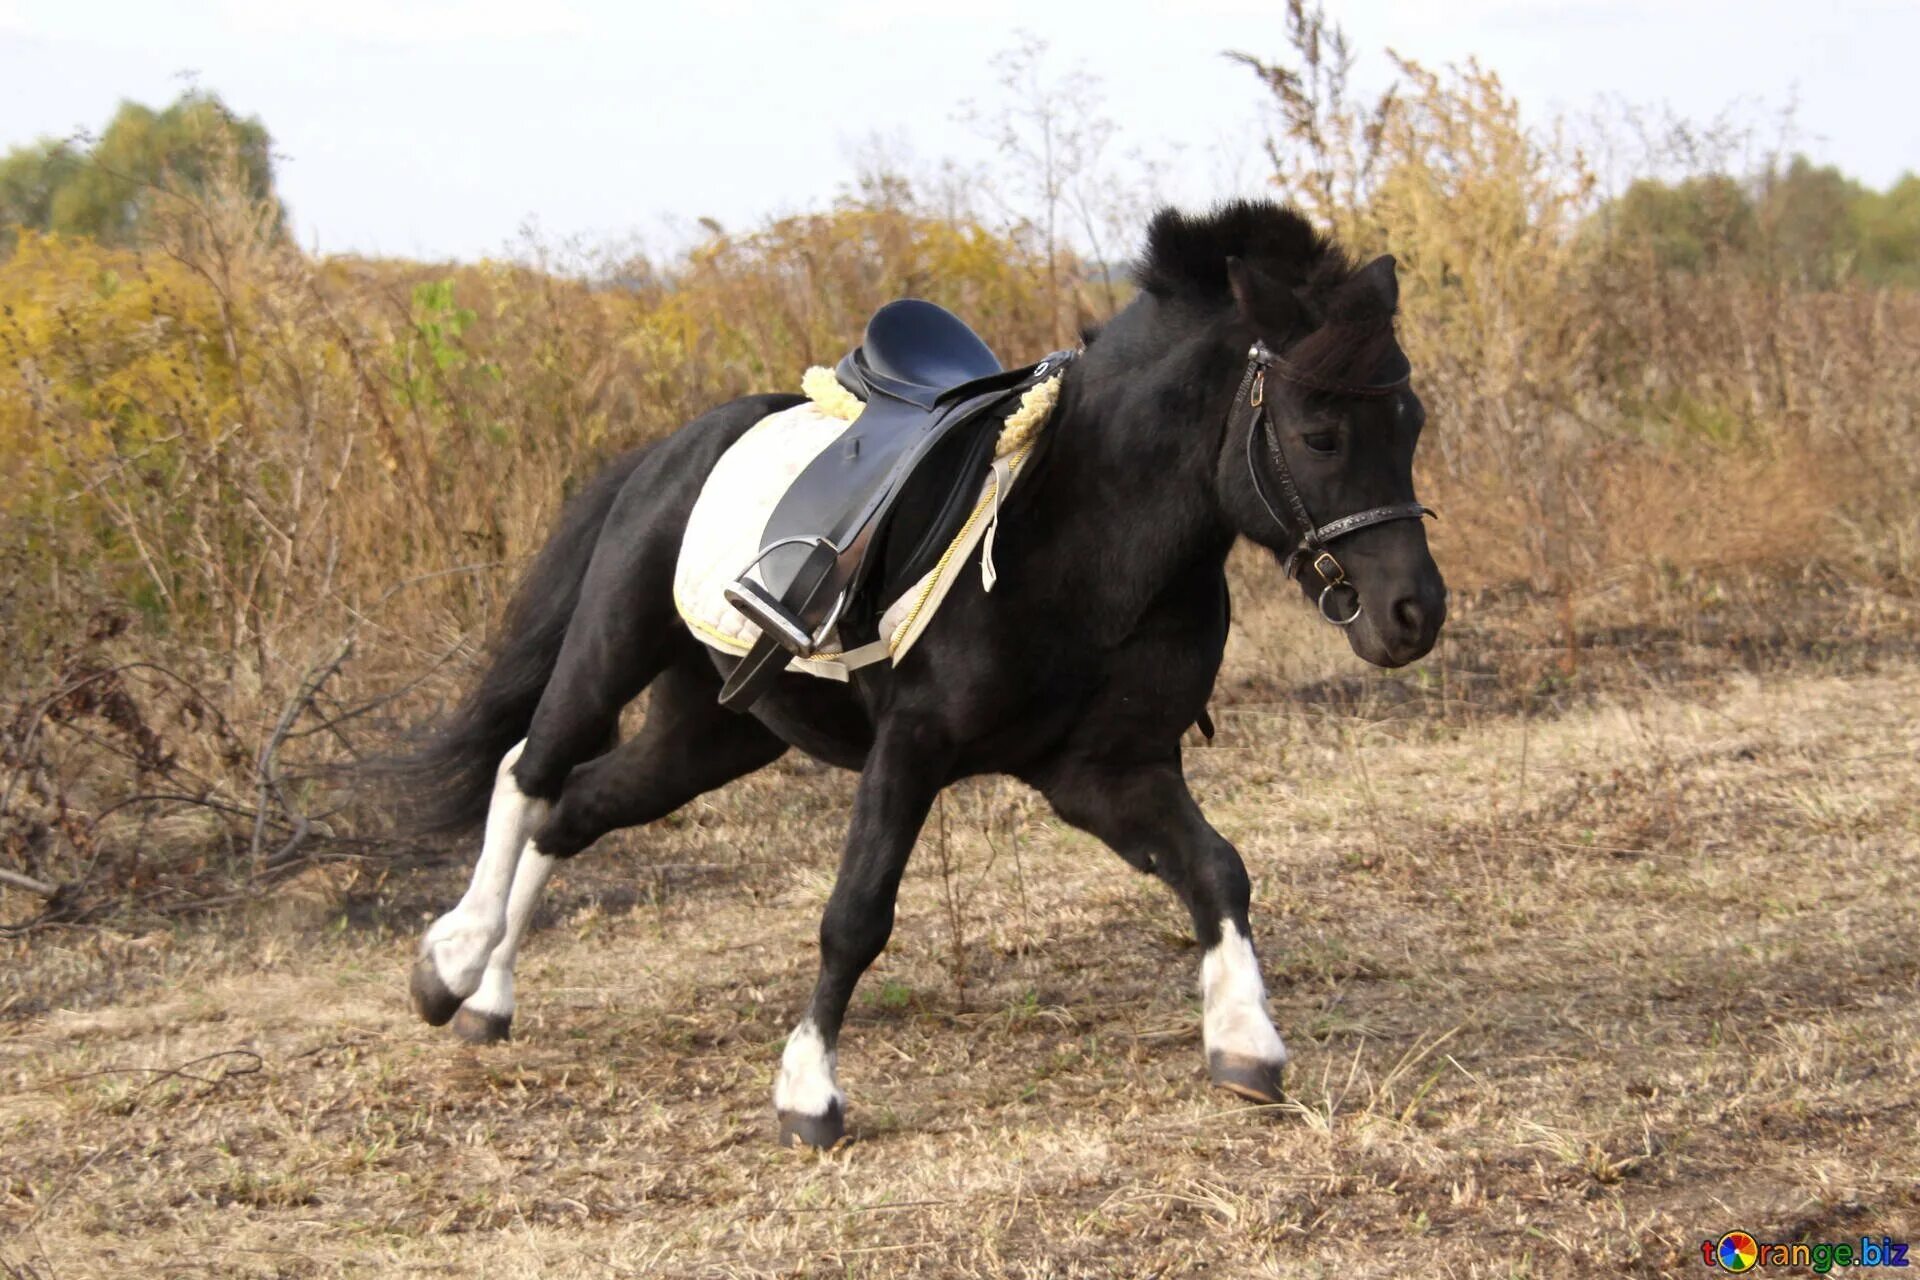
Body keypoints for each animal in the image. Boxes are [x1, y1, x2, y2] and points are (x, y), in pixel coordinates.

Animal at [401, 202, 1443, 1151]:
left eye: (1411, 421)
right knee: (531, 771)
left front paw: (1244, 1040)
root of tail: (674, 446)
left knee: (575, 807)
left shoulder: (1107, 772)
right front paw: (808, 1093)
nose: (1415, 614)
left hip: (710, 733)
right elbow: (856, 913)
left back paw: (489, 997)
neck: (1084, 533)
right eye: (1318, 434)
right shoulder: (912, 746)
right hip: (612, 650)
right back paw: (450, 965)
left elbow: (1218, 872)